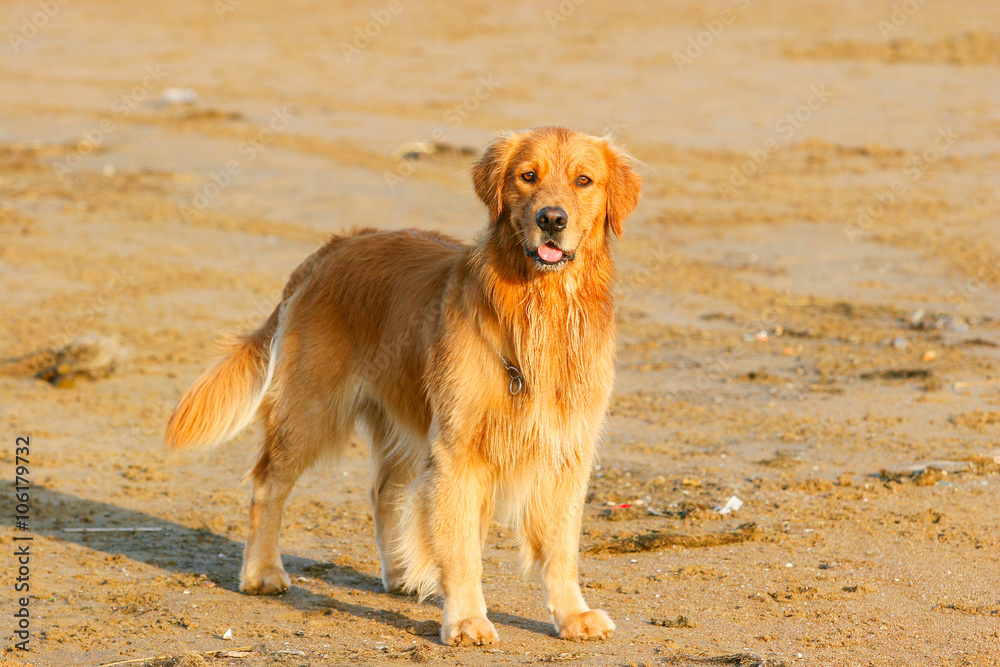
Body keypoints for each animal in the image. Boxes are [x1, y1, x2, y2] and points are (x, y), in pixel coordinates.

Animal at [166, 126, 640, 648]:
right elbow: (462, 548)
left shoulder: (565, 449)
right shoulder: (457, 451)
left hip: (403, 415)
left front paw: (573, 615)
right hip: (311, 410)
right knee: (268, 484)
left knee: (384, 491)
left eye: (584, 180)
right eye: (527, 176)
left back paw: (399, 575)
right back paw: (262, 572)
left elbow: (560, 548)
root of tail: (335, 246)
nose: (551, 219)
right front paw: (467, 620)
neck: (540, 306)